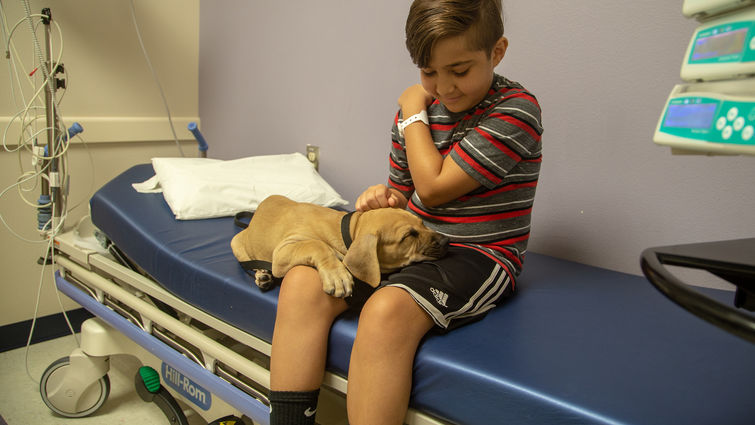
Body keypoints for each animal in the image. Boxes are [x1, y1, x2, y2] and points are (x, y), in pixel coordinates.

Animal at [227, 195, 446, 296]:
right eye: (409, 235)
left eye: (422, 224)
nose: (445, 241)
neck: (348, 229)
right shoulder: (283, 250)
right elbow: (316, 244)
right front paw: (336, 275)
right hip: (236, 242)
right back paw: (262, 275)